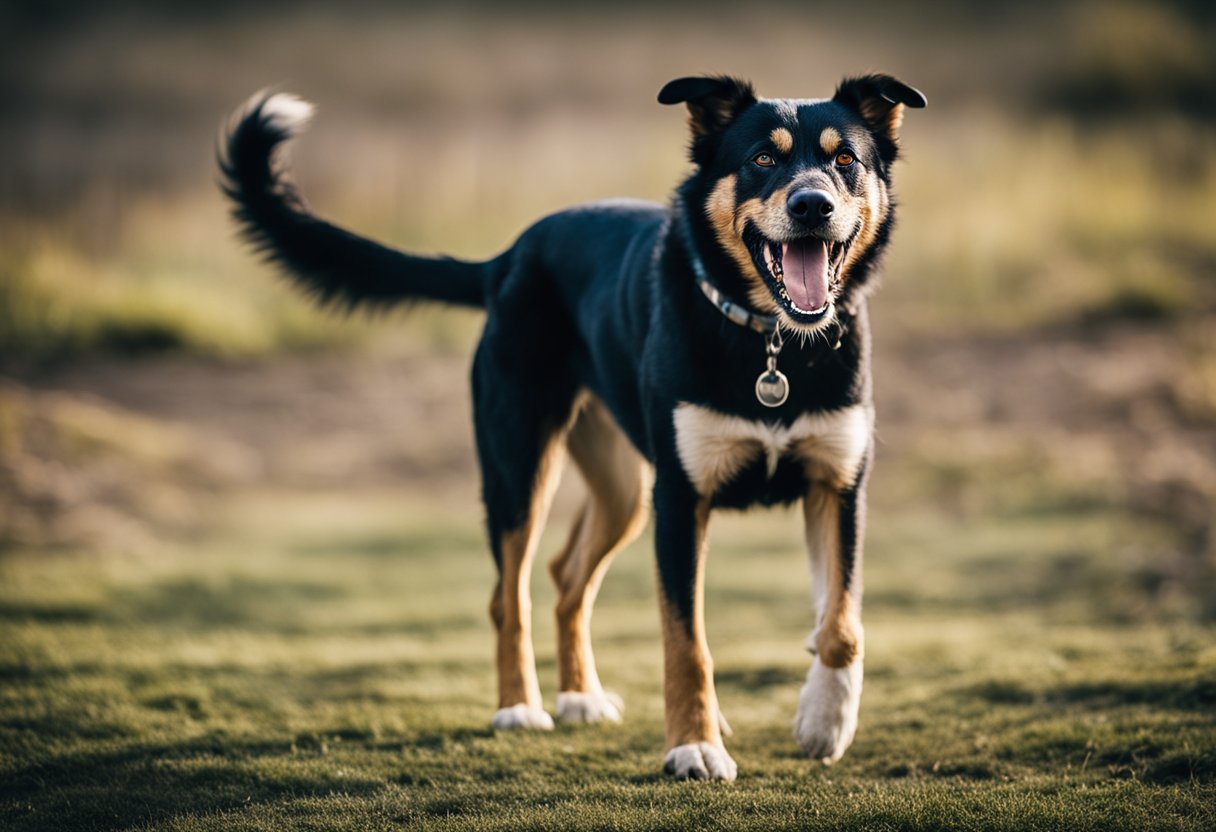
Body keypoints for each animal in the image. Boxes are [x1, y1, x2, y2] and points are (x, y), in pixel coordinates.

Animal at [218, 74, 919, 783]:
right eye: (762, 159)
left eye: (844, 160)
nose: (812, 206)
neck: (771, 342)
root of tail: (508, 256)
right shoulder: (679, 501)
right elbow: (686, 642)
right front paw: (693, 746)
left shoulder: (838, 485)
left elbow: (842, 623)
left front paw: (824, 721)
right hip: (520, 465)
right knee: (511, 594)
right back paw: (521, 708)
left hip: (623, 491)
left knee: (565, 578)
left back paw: (580, 696)